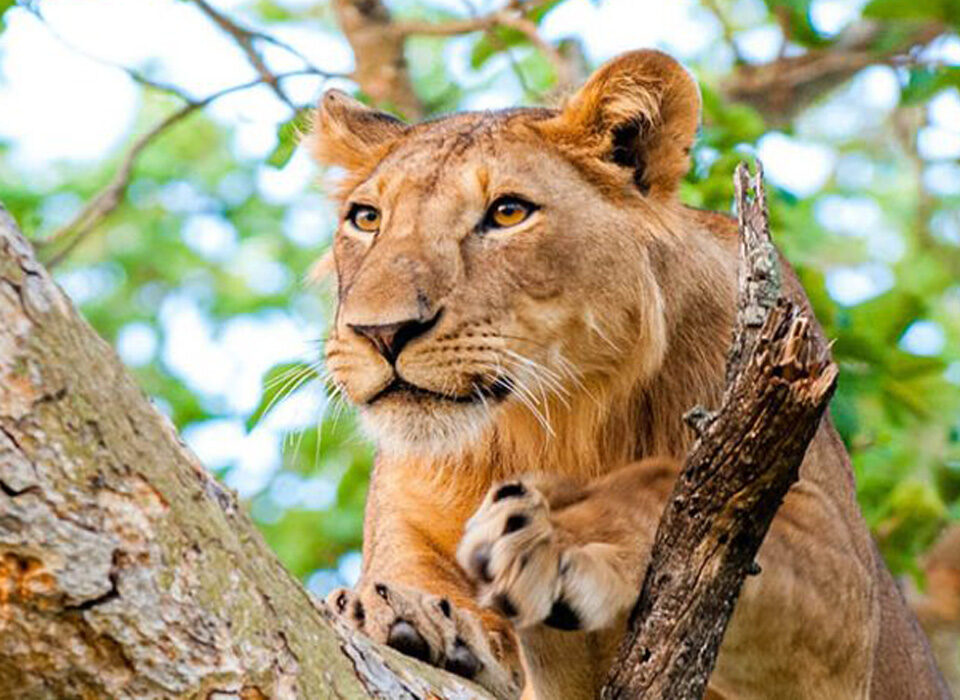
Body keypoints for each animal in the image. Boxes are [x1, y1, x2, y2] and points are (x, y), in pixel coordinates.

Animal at [314, 50, 948, 699]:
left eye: (508, 212)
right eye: (366, 218)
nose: (381, 333)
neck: (551, 422)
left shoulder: (843, 595)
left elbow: (669, 488)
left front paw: (563, 534)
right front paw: (406, 614)